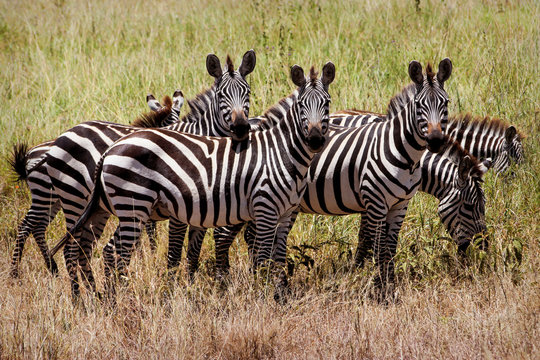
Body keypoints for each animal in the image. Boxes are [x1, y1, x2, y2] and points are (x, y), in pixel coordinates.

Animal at [6, 94, 179, 278]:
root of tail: (33, 154)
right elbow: (147, 231)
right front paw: (147, 258)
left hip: (55, 198)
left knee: (39, 227)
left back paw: (52, 268)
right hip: (46, 194)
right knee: (26, 226)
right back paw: (15, 272)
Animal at [53, 62, 334, 300]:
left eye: (327, 104)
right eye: (301, 106)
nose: (316, 141)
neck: (281, 151)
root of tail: (111, 149)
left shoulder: (285, 213)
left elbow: (277, 257)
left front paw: (278, 296)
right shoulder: (263, 209)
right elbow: (260, 257)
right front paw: (263, 297)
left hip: (111, 208)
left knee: (95, 249)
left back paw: (103, 298)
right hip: (123, 204)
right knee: (108, 252)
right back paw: (112, 301)